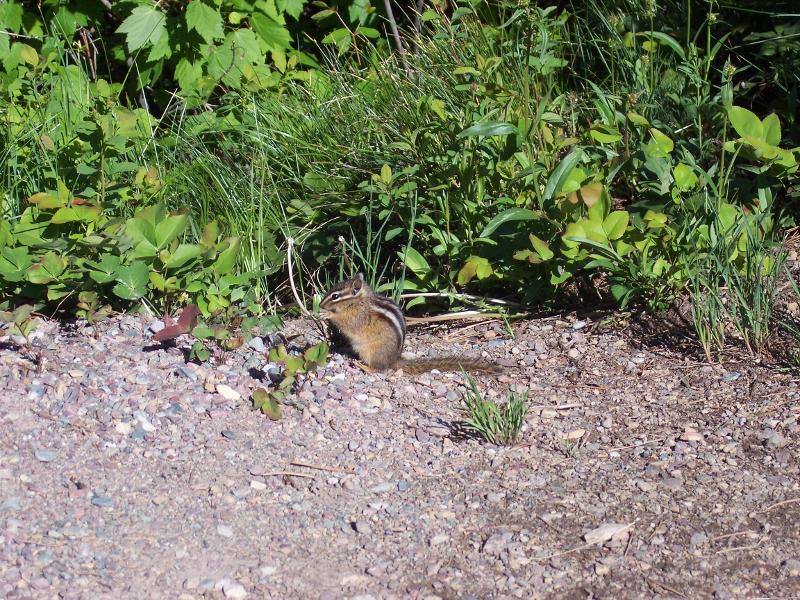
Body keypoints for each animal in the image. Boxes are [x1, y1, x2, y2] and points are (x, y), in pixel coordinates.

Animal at [319, 273, 502, 375]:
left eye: (335, 296)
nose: (320, 304)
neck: (359, 301)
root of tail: (394, 359)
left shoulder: (358, 316)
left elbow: (345, 322)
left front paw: (327, 314)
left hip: (372, 352)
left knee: (380, 369)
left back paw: (364, 367)